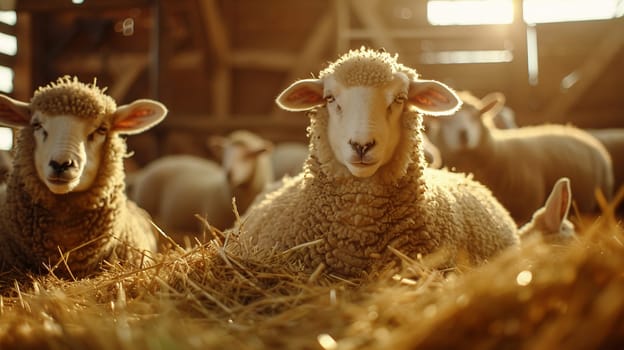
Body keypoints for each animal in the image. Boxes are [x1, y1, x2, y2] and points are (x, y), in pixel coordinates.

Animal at [424, 89, 616, 223]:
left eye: (476, 116)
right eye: (444, 120)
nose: (463, 135)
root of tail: (583, 134)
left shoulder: (526, 208)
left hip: (602, 202)